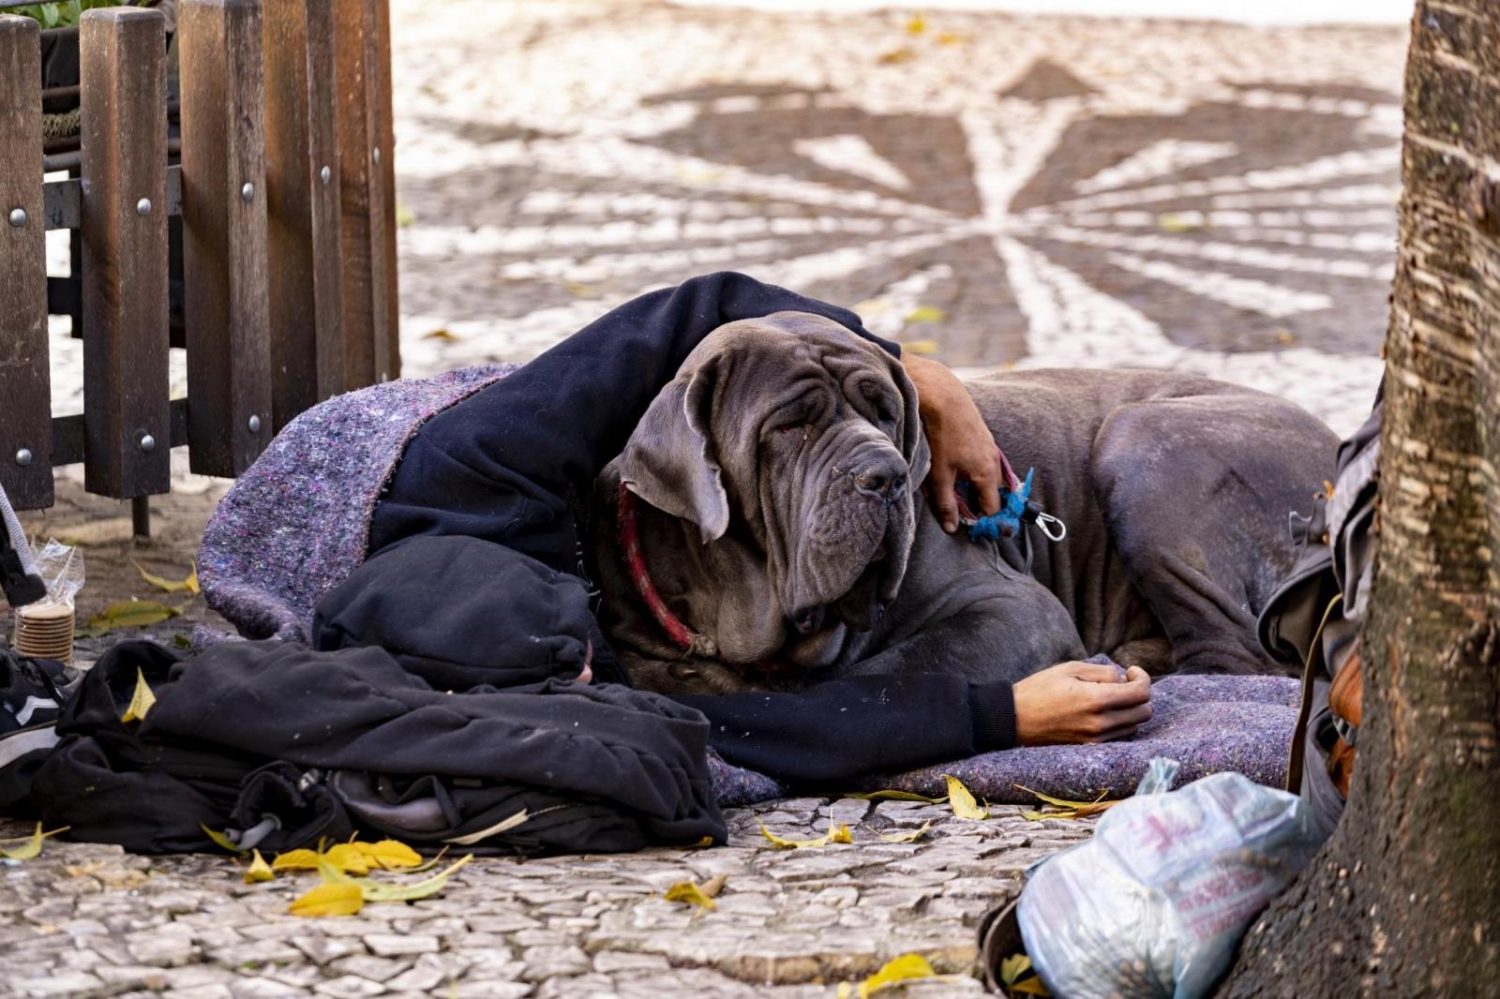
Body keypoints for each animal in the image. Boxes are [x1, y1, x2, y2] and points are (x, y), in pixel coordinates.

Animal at [588, 312, 1338, 693]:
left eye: (886, 412)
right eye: (790, 426)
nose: (886, 475)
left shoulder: (1013, 610)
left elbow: (894, 668)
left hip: (1141, 442)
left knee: (1238, 657)